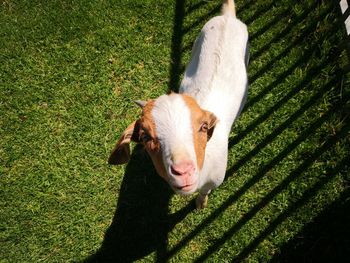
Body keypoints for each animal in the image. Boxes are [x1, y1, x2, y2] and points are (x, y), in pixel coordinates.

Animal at [109, 0, 249, 210]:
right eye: (145, 136)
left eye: (204, 127)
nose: (183, 172)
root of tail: (228, 16)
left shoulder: (214, 180)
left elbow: (205, 192)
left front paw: (201, 203)